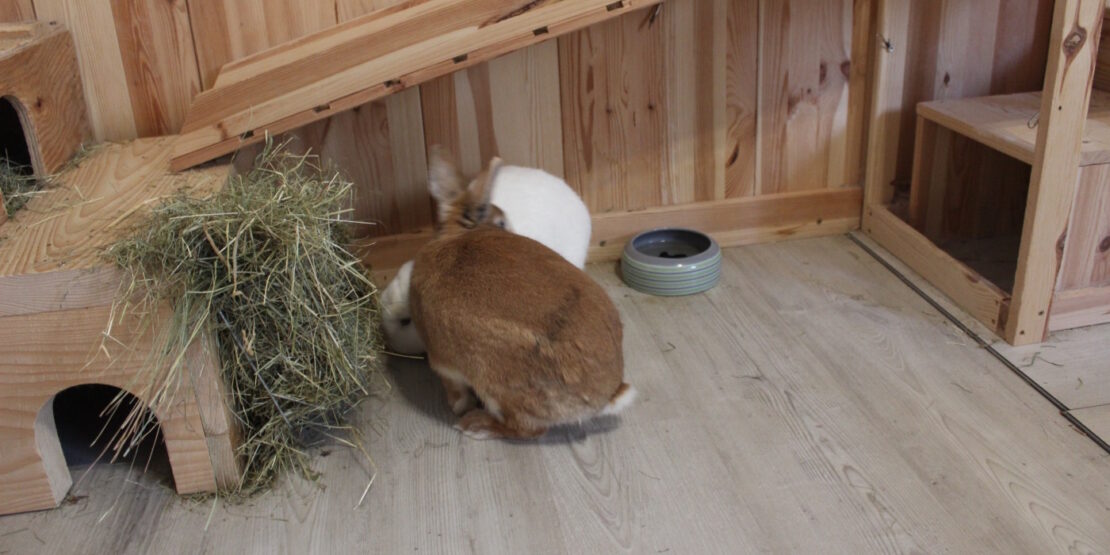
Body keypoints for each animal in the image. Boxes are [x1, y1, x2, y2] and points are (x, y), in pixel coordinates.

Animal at [408, 147, 634, 440]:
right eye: (502, 221)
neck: (456, 234)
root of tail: (607, 394)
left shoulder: (443, 362)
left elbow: (454, 388)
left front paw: (457, 406)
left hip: (497, 384)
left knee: (527, 429)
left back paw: (475, 425)